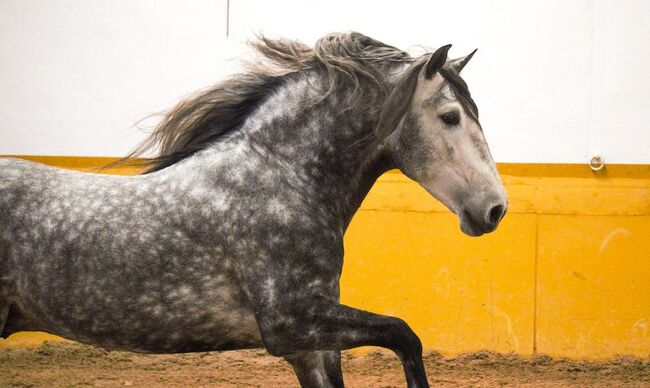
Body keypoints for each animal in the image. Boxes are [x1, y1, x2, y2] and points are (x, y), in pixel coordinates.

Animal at [0, 34, 506, 388]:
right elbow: (405, 334)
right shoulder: (291, 323)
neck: (283, 179)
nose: (495, 209)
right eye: (450, 117)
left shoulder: (312, 346)